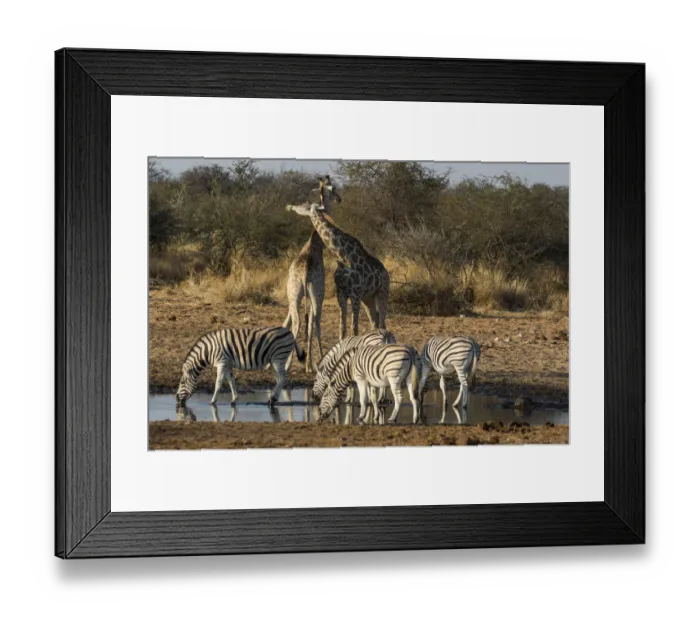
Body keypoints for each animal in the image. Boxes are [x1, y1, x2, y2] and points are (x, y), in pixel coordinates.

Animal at [175, 326, 305, 407]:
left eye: (182, 383)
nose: (176, 400)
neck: (209, 350)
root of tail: (290, 333)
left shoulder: (222, 363)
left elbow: (218, 383)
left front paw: (212, 401)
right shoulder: (227, 364)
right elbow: (231, 381)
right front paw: (234, 399)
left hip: (279, 357)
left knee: (283, 377)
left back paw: (272, 399)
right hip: (274, 360)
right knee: (280, 379)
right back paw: (273, 399)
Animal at [283, 177, 342, 372]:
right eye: (334, 189)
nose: (340, 199)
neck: (314, 245)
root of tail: (304, 272)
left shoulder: (292, 295)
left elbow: (286, 321)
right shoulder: (318, 293)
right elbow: (314, 325)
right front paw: (313, 361)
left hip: (294, 293)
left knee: (296, 322)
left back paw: (290, 362)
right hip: (316, 294)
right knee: (312, 323)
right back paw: (308, 362)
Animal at [285, 196, 390, 340]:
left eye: (305, 205)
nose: (290, 207)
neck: (342, 256)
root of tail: (385, 271)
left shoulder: (355, 294)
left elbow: (354, 328)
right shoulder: (341, 293)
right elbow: (342, 328)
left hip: (382, 292)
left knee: (382, 323)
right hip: (368, 297)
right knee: (374, 322)